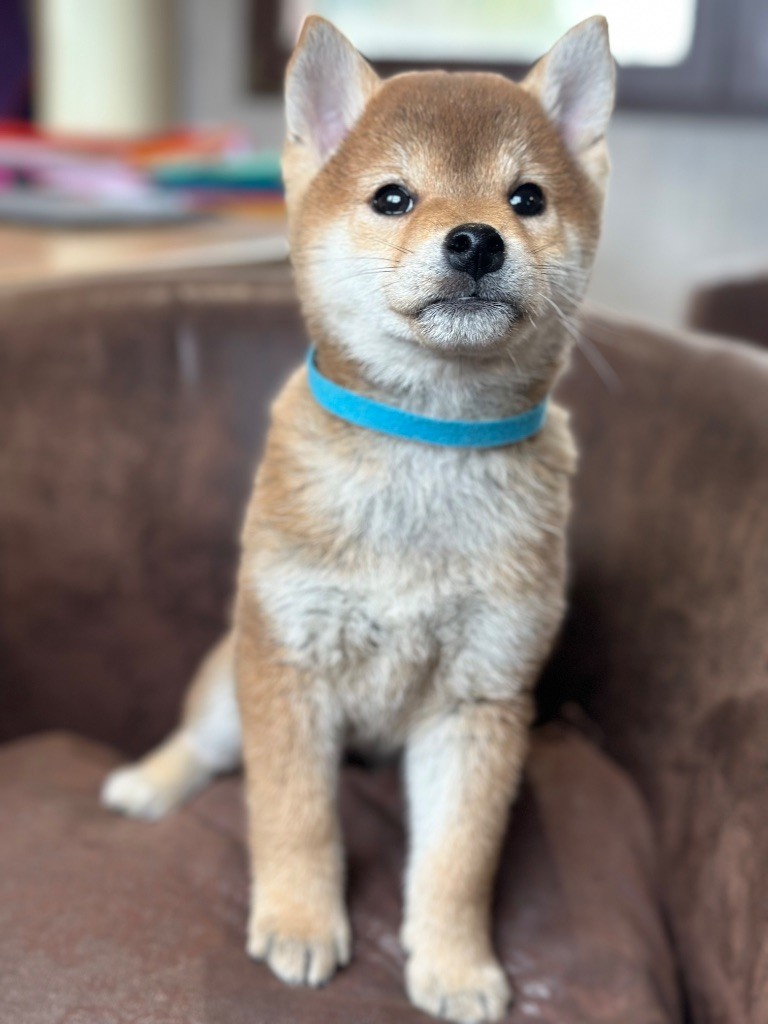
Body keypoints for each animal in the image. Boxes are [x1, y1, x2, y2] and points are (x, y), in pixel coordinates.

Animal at [102, 15, 614, 1022]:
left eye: (528, 197)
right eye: (393, 197)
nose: (475, 241)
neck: (428, 444)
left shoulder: (479, 701)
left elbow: (458, 862)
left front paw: (453, 965)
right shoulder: (289, 670)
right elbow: (295, 818)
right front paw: (301, 923)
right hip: (231, 685)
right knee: (201, 744)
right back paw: (146, 783)